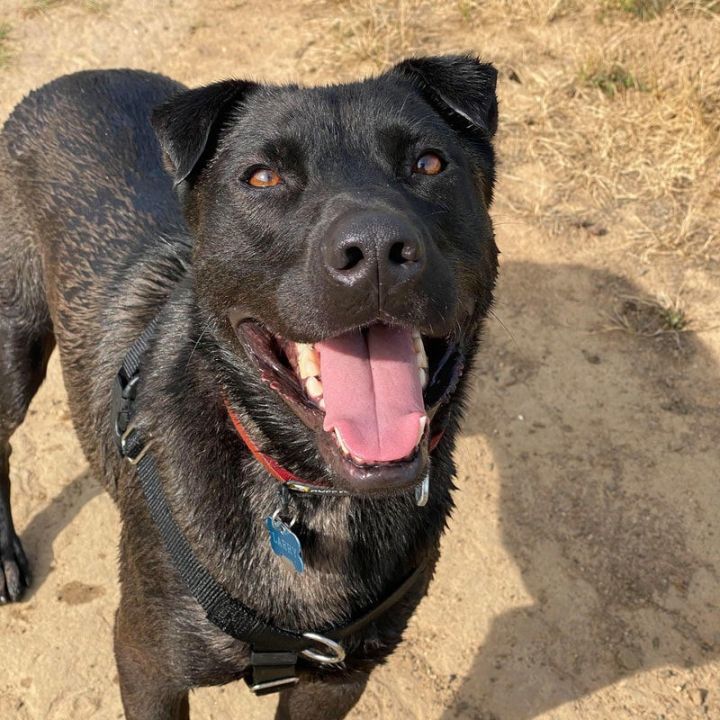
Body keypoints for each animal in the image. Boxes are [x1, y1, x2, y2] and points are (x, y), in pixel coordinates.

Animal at [0, 57, 498, 720]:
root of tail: (72, 78)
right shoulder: (146, 664)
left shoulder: (336, 680)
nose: (373, 250)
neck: (311, 496)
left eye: (430, 163)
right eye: (262, 176)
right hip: (16, 345)